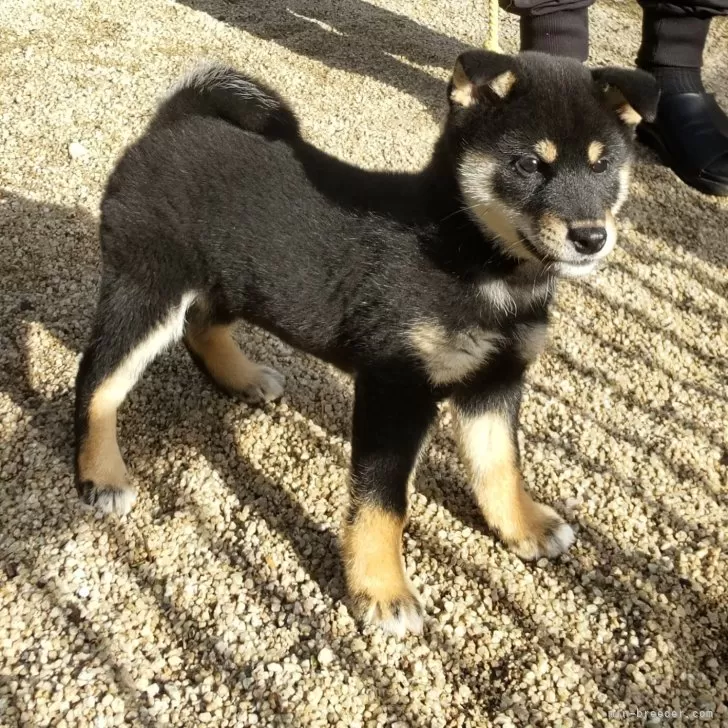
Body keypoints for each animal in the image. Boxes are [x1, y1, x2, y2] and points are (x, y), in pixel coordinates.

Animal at [75, 51, 660, 636]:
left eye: (602, 165)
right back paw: (101, 475)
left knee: (201, 328)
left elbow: (500, 465)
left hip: (234, 280)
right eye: (528, 165)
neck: (476, 259)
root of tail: (171, 122)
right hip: (149, 288)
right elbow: (384, 500)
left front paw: (523, 525)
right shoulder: (396, 386)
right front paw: (381, 588)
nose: (591, 237)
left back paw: (243, 378)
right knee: (98, 379)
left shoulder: (495, 380)